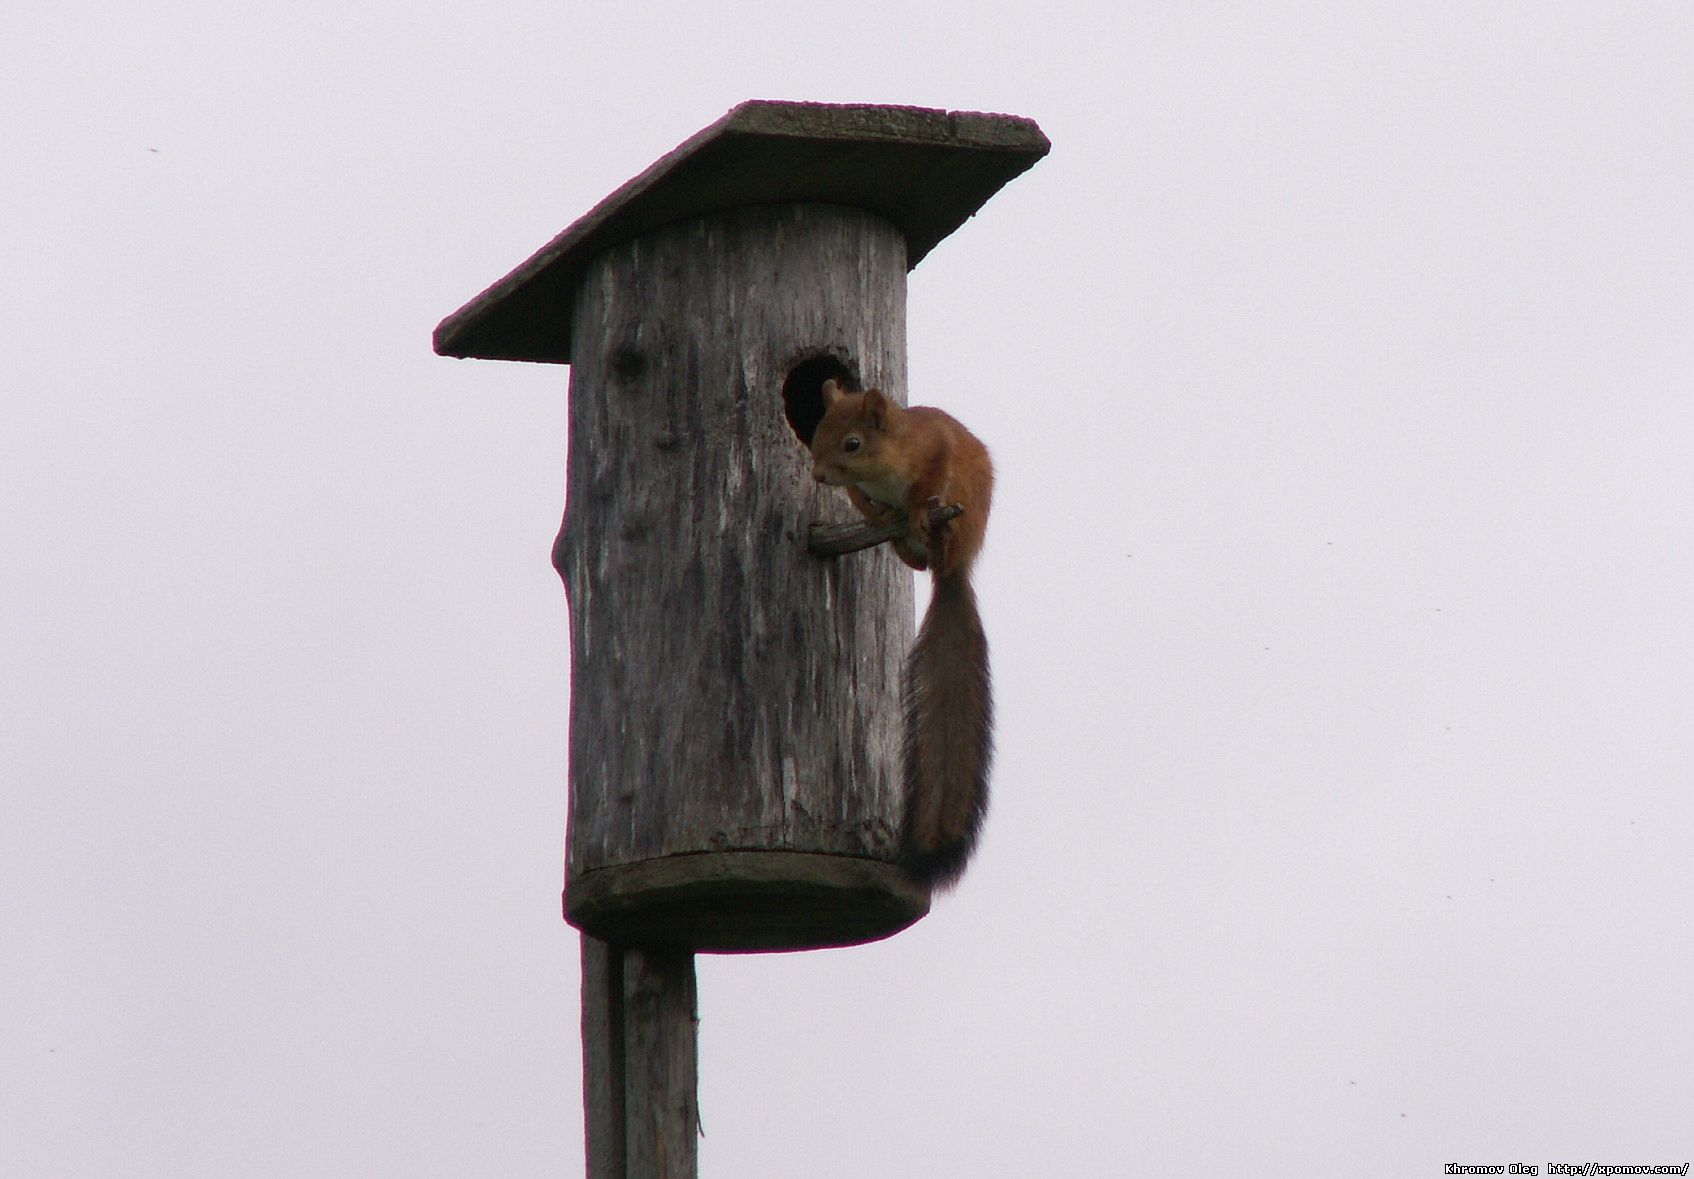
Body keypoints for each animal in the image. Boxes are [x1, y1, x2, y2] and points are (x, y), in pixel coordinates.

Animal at [806, 377, 989, 880]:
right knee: (916, 561)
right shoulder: (858, 488)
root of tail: (954, 574)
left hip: (965, 512)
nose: (818, 476)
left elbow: (930, 476)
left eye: (853, 443)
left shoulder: (934, 447)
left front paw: (917, 507)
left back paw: (936, 530)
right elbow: (860, 499)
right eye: (816, 430)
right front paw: (880, 512)